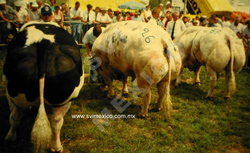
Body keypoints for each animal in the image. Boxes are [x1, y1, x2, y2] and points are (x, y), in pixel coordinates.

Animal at [2, 21, 84, 152]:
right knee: (56, 120)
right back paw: (56, 147)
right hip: (63, 99)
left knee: (15, 116)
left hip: (13, 93)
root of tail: (44, 43)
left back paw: (10, 137)